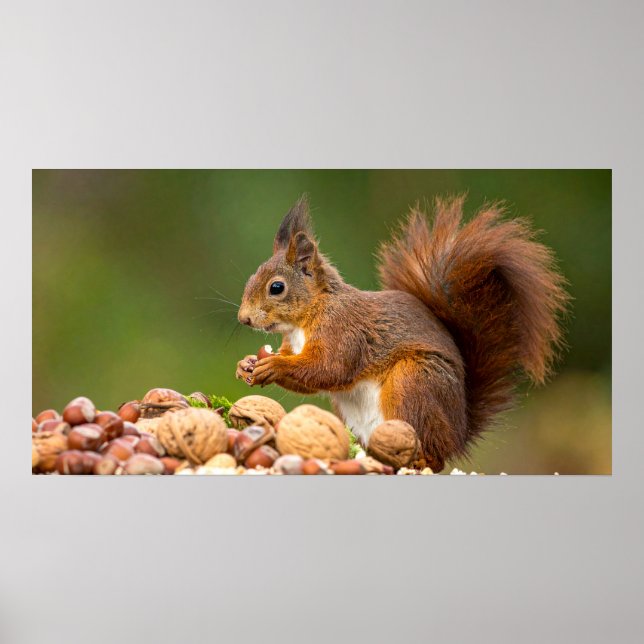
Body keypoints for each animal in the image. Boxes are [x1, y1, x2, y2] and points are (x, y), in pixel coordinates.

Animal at [235, 194, 568, 471]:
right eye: (250, 277)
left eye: (276, 287)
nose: (243, 319)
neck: (306, 318)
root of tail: (458, 433)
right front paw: (246, 365)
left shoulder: (343, 330)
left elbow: (329, 368)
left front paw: (274, 365)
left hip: (413, 383)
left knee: (433, 456)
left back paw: (420, 460)